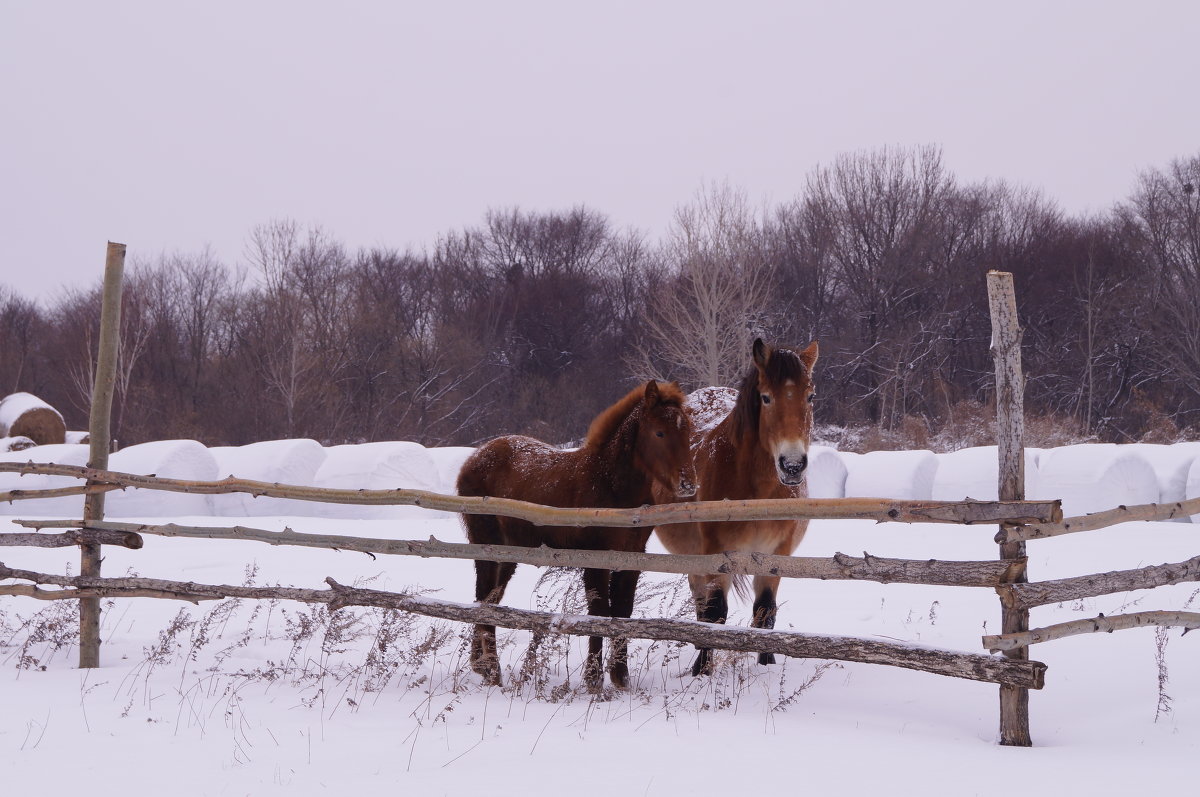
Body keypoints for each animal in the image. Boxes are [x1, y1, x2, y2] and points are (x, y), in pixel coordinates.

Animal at [456, 381, 700, 691]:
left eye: (687, 430)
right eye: (659, 432)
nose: (688, 483)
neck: (610, 485)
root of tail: (474, 459)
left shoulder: (631, 558)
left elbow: (623, 611)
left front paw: (620, 677)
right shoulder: (594, 559)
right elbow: (598, 612)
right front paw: (593, 678)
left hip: (509, 554)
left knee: (489, 599)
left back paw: (481, 665)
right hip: (487, 545)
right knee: (485, 597)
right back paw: (491, 669)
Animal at [657, 336, 816, 672]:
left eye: (810, 396)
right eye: (766, 398)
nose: (792, 465)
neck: (758, 495)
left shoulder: (775, 556)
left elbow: (765, 612)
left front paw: (766, 664)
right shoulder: (716, 555)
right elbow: (715, 613)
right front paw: (702, 671)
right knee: (700, 604)